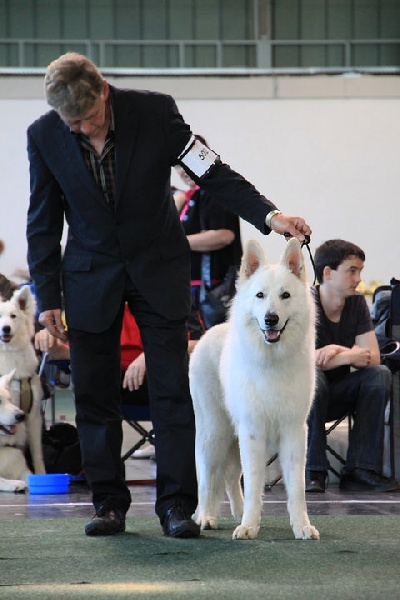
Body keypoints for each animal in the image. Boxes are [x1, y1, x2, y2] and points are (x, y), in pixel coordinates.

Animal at [189, 238, 319, 540]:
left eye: (285, 295)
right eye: (260, 295)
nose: (271, 319)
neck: (272, 360)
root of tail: (209, 333)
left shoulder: (294, 432)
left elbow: (296, 487)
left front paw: (302, 526)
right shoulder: (253, 432)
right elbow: (253, 484)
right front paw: (250, 526)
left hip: (232, 437)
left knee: (228, 476)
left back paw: (235, 513)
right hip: (214, 433)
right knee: (206, 478)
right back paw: (206, 517)